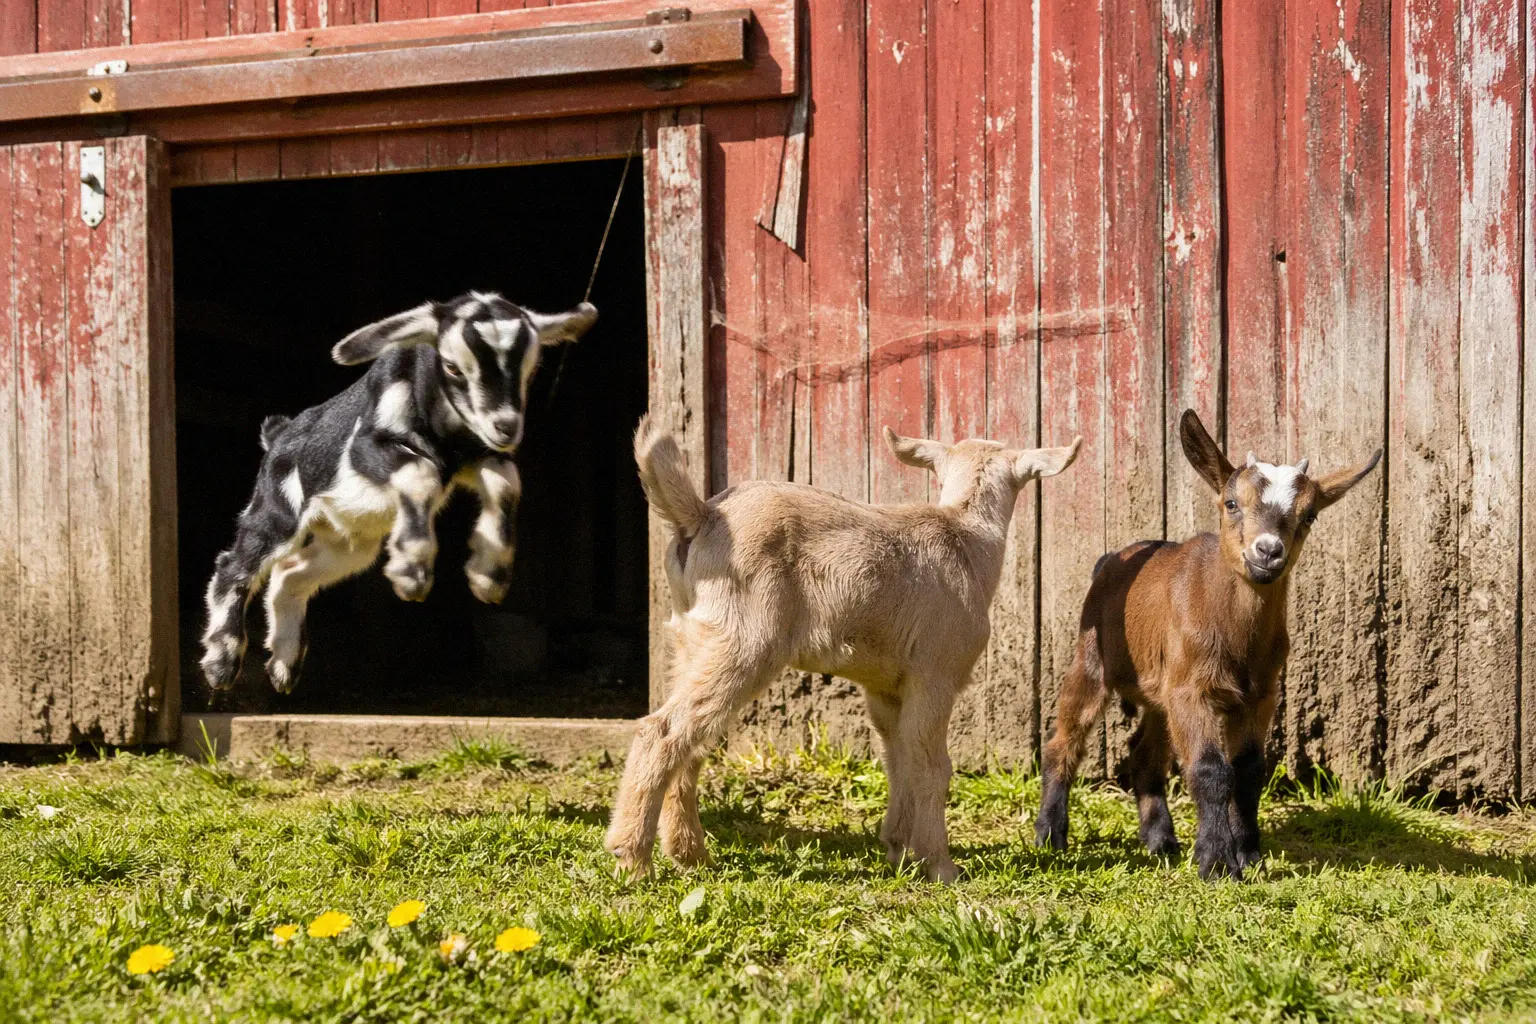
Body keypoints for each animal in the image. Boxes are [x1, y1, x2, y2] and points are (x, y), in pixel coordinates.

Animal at [199, 292, 597, 694]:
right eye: (452, 367)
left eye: (531, 370)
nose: (506, 426)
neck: (442, 430)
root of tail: (278, 435)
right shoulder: (366, 447)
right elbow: (421, 474)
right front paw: (411, 571)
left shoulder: (477, 455)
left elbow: (506, 482)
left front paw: (489, 575)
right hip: (278, 511)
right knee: (233, 567)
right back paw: (221, 663)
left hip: (350, 544)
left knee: (289, 574)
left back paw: (284, 664)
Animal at [605, 415, 1081, 881]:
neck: (965, 539)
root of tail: (702, 517)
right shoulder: (935, 673)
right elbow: (931, 764)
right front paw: (940, 865)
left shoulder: (887, 686)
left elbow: (898, 758)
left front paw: (898, 849)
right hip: (744, 640)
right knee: (662, 731)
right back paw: (633, 858)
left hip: (692, 640)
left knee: (691, 741)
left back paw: (690, 854)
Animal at [1034, 409, 1380, 879]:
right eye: (1231, 503)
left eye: (1309, 515)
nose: (1268, 551)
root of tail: (1108, 561)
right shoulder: (1192, 689)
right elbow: (1211, 769)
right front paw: (1217, 862)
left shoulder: (1259, 695)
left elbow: (1249, 770)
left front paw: (1249, 854)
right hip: (1092, 660)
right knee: (1064, 740)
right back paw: (1050, 835)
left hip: (1160, 688)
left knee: (1144, 756)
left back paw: (1161, 842)